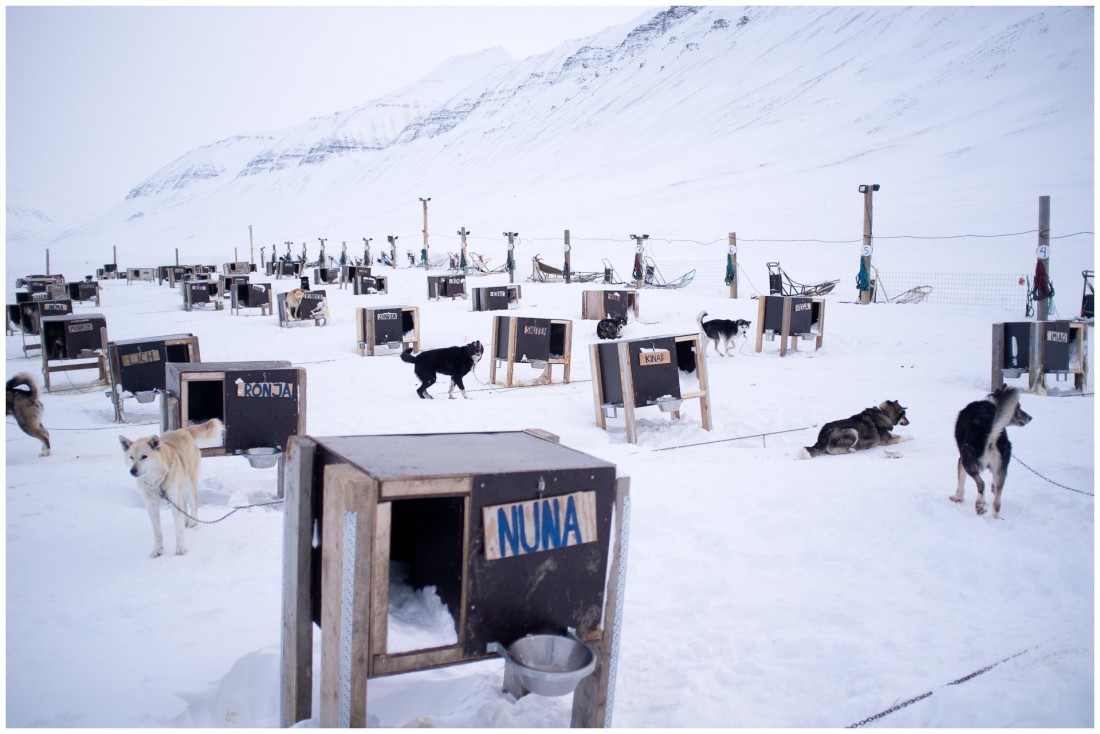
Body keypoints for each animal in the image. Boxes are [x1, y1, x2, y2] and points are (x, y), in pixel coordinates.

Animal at [120, 418, 223, 556]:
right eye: (131, 457)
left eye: (144, 456)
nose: (132, 471)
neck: (156, 482)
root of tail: (183, 430)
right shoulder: (151, 506)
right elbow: (157, 532)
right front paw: (158, 550)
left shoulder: (174, 500)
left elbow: (178, 530)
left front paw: (181, 548)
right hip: (180, 488)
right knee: (184, 504)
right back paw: (186, 520)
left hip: (189, 483)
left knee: (193, 502)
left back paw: (193, 521)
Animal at [954, 387, 1029, 519]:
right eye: (1018, 407)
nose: (1030, 417)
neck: (992, 403)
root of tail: (991, 432)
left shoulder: (961, 460)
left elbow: (961, 480)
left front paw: (958, 497)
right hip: (1001, 469)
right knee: (997, 502)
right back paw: (995, 517)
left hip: (968, 461)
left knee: (981, 484)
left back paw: (980, 505)